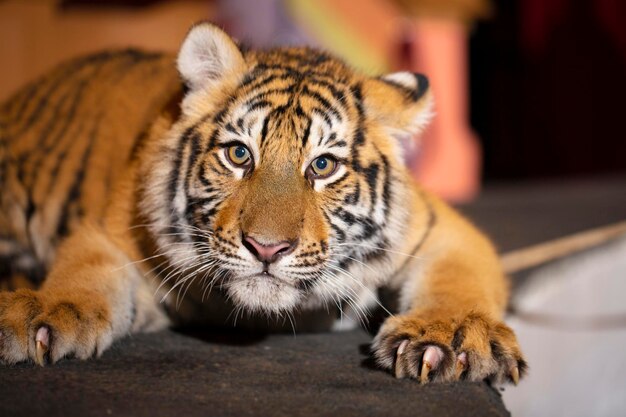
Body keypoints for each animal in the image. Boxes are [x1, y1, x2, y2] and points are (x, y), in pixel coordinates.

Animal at [0, 22, 520, 380]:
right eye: (238, 154)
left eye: (323, 166)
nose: (267, 249)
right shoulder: (111, 234)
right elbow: (83, 272)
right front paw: (40, 312)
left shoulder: (444, 233)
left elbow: (458, 279)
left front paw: (450, 336)